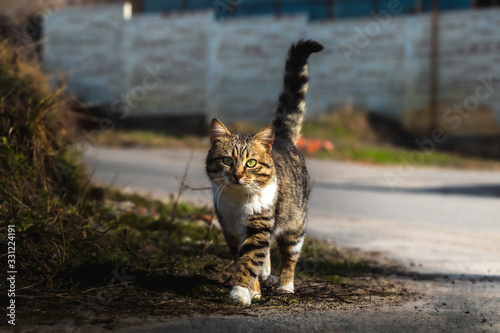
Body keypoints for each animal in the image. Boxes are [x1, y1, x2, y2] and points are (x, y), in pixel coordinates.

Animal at [205, 38, 322, 304]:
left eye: (251, 163)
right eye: (227, 160)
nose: (237, 175)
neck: (239, 201)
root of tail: (283, 138)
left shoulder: (259, 225)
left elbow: (249, 261)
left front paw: (240, 293)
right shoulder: (230, 229)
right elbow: (244, 260)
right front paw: (254, 291)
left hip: (295, 223)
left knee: (289, 256)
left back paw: (285, 287)